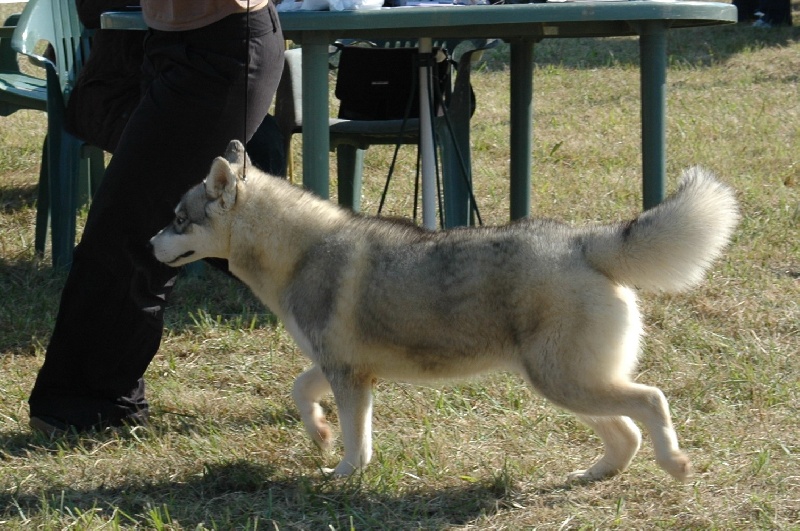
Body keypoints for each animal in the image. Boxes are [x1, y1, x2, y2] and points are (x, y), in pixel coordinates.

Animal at [148, 139, 736, 480]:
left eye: (178, 219)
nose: (149, 243)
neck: (300, 253)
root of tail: (582, 241)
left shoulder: (348, 375)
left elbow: (357, 440)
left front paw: (343, 472)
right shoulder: (340, 366)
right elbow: (299, 391)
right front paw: (319, 433)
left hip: (564, 381)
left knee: (651, 402)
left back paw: (673, 463)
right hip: (565, 383)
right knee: (625, 432)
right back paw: (594, 475)